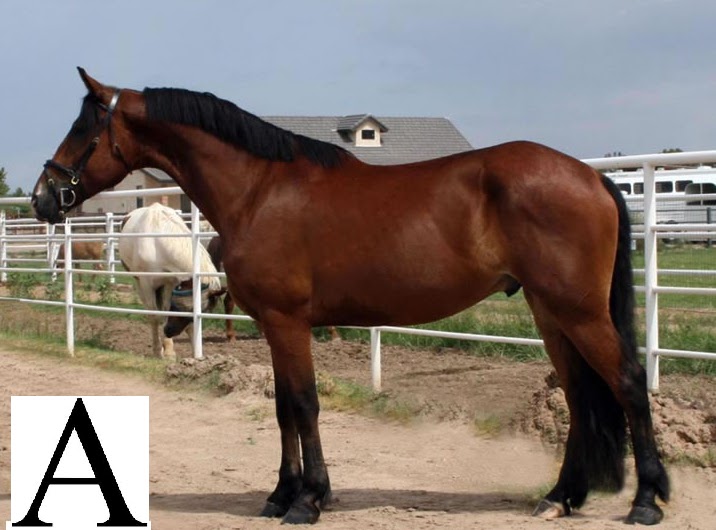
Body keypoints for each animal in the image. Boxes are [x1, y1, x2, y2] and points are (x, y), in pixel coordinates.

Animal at [118, 202, 223, 360]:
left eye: (202, 310)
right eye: (180, 307)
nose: (170, 331)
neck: (157, 243)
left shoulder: (169, 283)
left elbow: (166, 313)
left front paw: (172, 350)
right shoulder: (147, 284)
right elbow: (156, 316)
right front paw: (159, 350)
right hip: (139, 284)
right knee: (150, 312)